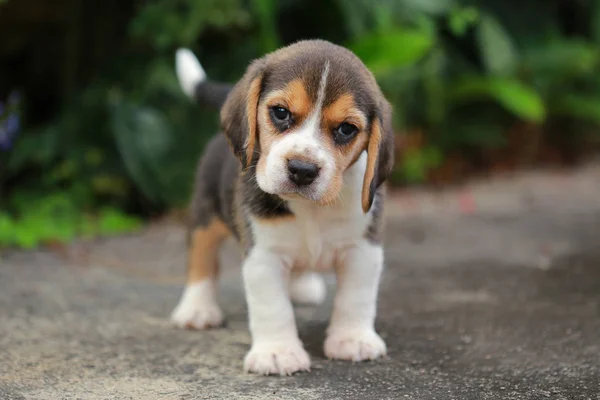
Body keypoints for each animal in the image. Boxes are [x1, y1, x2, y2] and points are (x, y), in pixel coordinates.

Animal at [170, 39, 394, 376]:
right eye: (280, 112)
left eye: (346, 129)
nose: (302, 169)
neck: (311, 209)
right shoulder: (264, 255)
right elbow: (273, 307)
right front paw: (277, 353)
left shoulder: (362, 249)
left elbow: (356, 297)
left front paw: (352, 339)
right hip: (205, 211)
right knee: (201, 256)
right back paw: (197, 308)